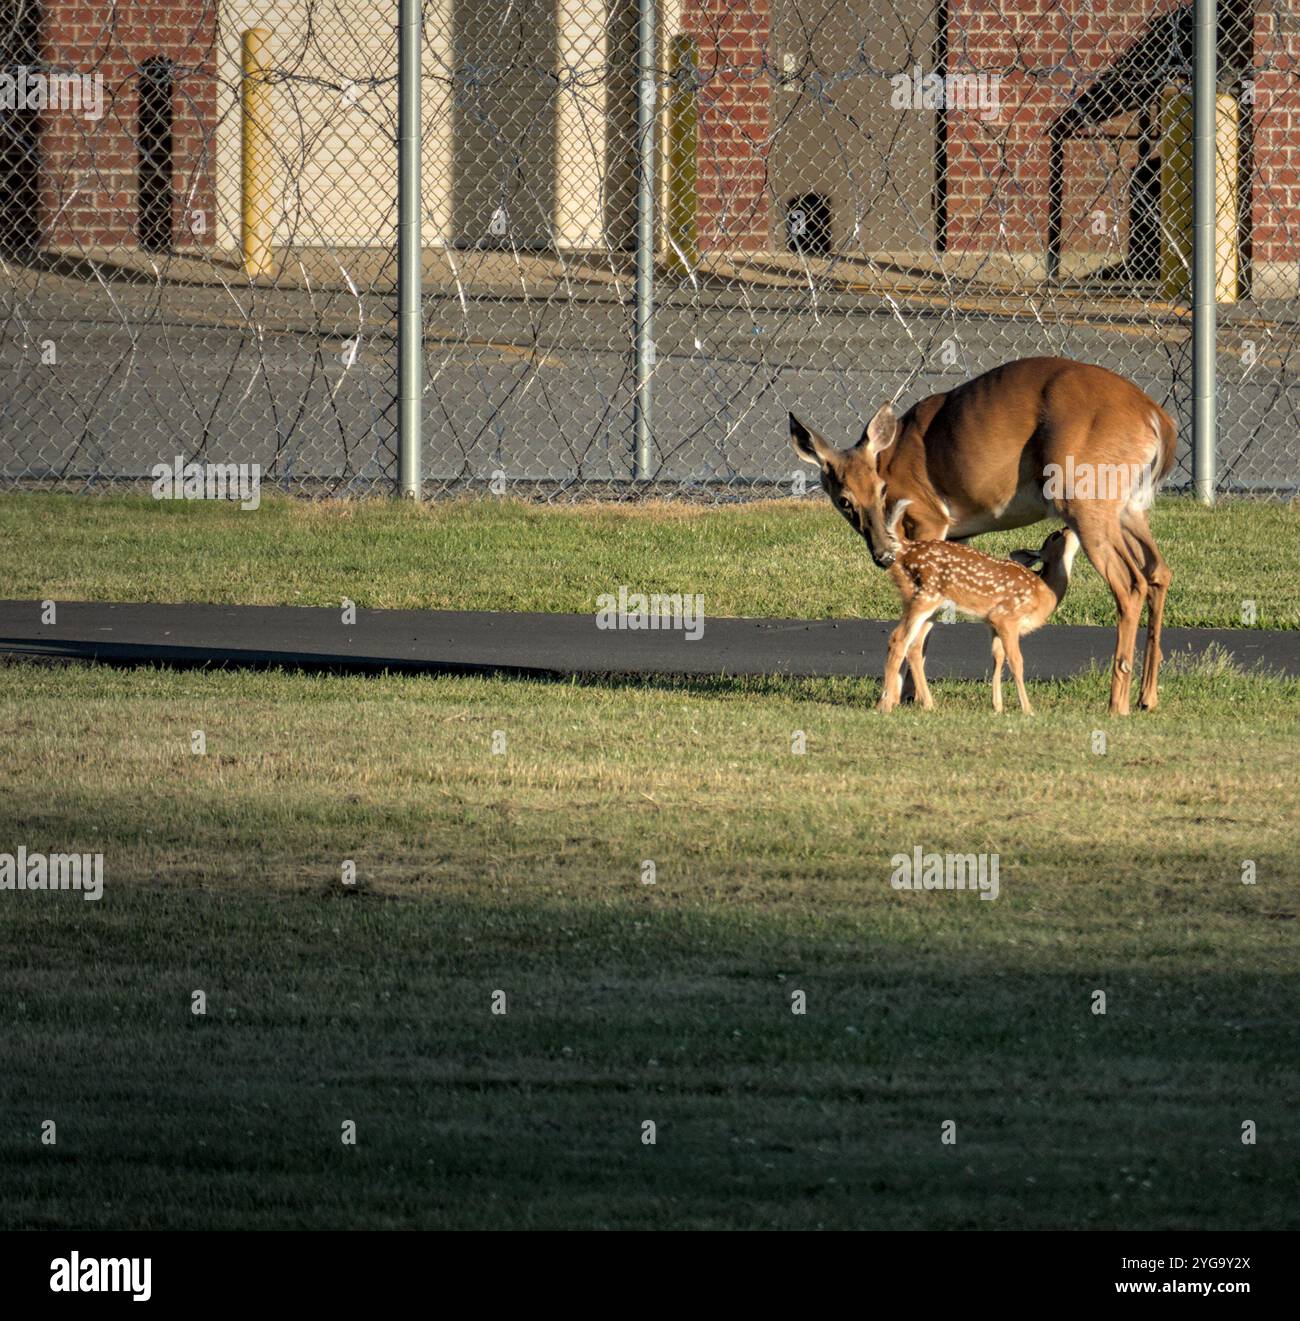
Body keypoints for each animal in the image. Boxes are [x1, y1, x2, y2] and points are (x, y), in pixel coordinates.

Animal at [792, 356, 1178, 713]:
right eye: (843, 500)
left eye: (882, 489)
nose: (883, 554)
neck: (892, 460)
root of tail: (1158, 420)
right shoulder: (956, 536)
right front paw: (911, 695)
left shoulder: (929, 518)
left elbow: (922, 626)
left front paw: (905, 696)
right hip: (1129, 508)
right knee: (1157, 570)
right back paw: (1147, 698)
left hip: (1085, 494)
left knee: (1129, 582)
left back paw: (1117, 703)